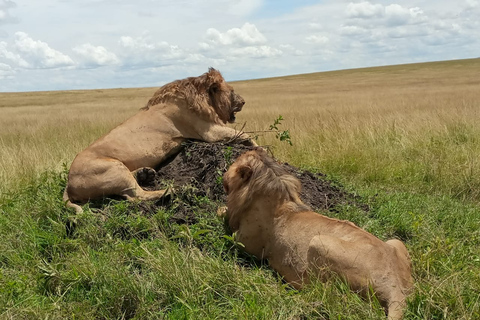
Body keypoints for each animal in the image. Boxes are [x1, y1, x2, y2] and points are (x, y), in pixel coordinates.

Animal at [63, 68, 255, 214]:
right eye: (231, 91)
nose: (244, 101)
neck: (200, 97)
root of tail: (68, 183)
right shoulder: (209, 132)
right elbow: (246, 135)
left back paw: (145, 173)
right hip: (113, 168)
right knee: (136, 196)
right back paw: (174, 190)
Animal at [221, 149, 412, 320]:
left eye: (233, 163)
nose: (223, 175)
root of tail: (396, 287)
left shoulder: (244, 243)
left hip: (319, 242)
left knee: (325, 291)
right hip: (395, 241)